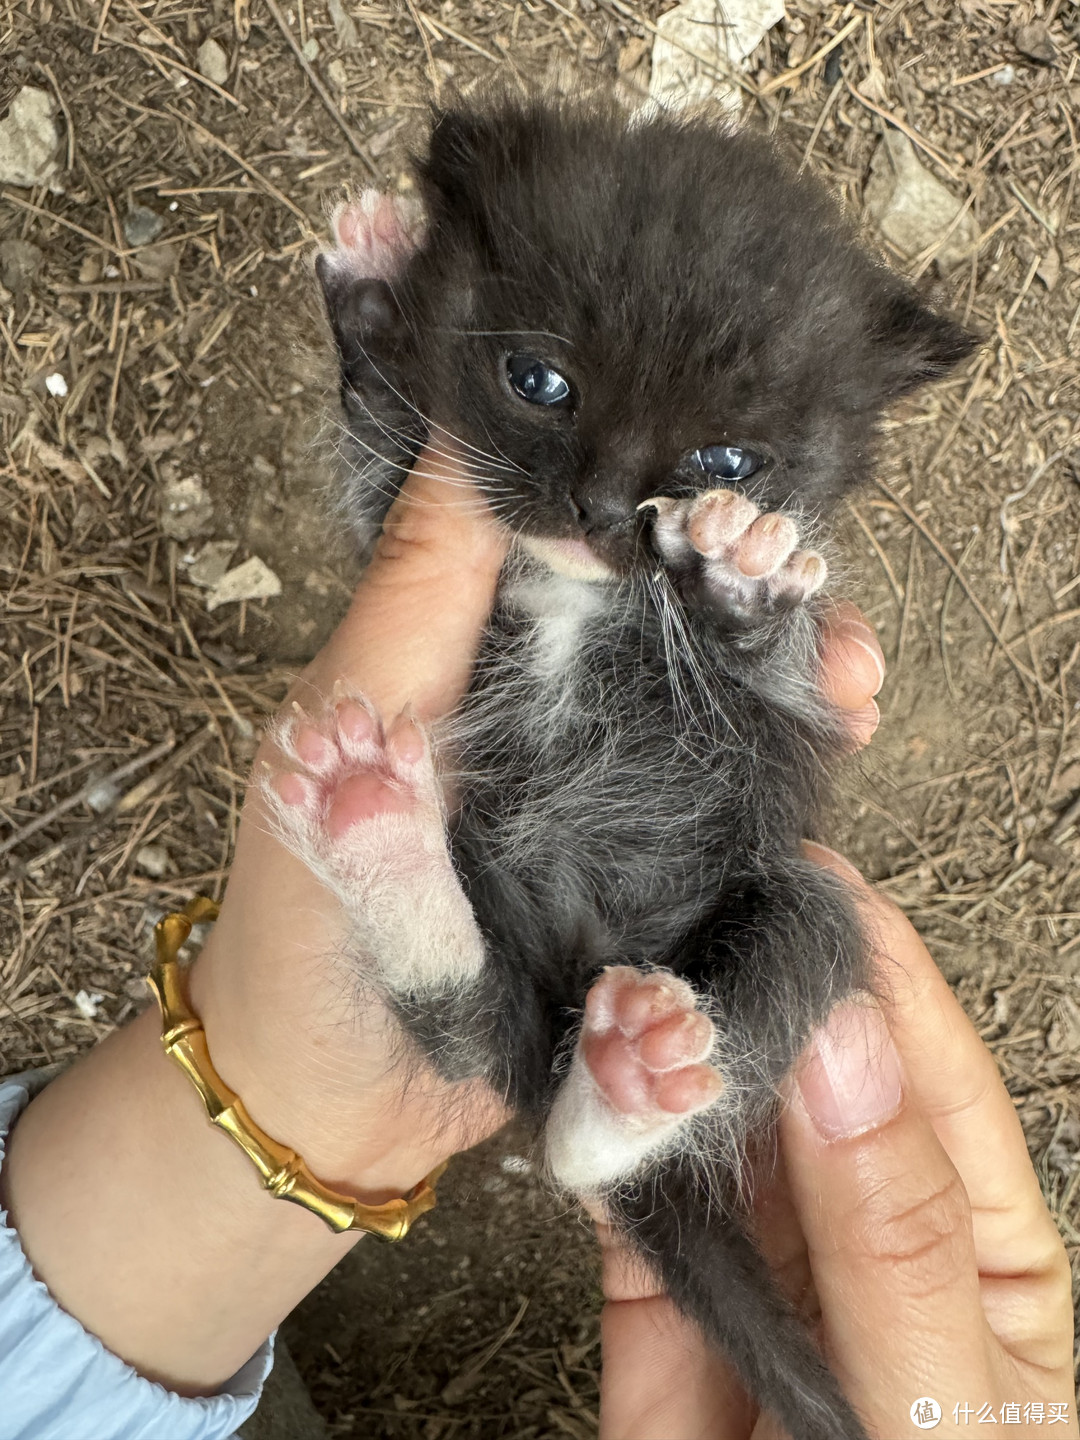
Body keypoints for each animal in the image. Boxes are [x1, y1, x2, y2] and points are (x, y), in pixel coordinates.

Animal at [266, 95, 979, 1440]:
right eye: (540, 382)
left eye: (727, 461)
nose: (601, 506)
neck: (576, 592)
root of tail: (567, 1004)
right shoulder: (405, 516)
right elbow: (381, 458)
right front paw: (373, 289)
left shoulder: (778, 710)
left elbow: (782, 662)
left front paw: (744, 575)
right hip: (490, 896)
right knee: (464, 1024)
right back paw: (376, 827)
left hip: (788, 906)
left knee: (644, 1065)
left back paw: (626, 1093)